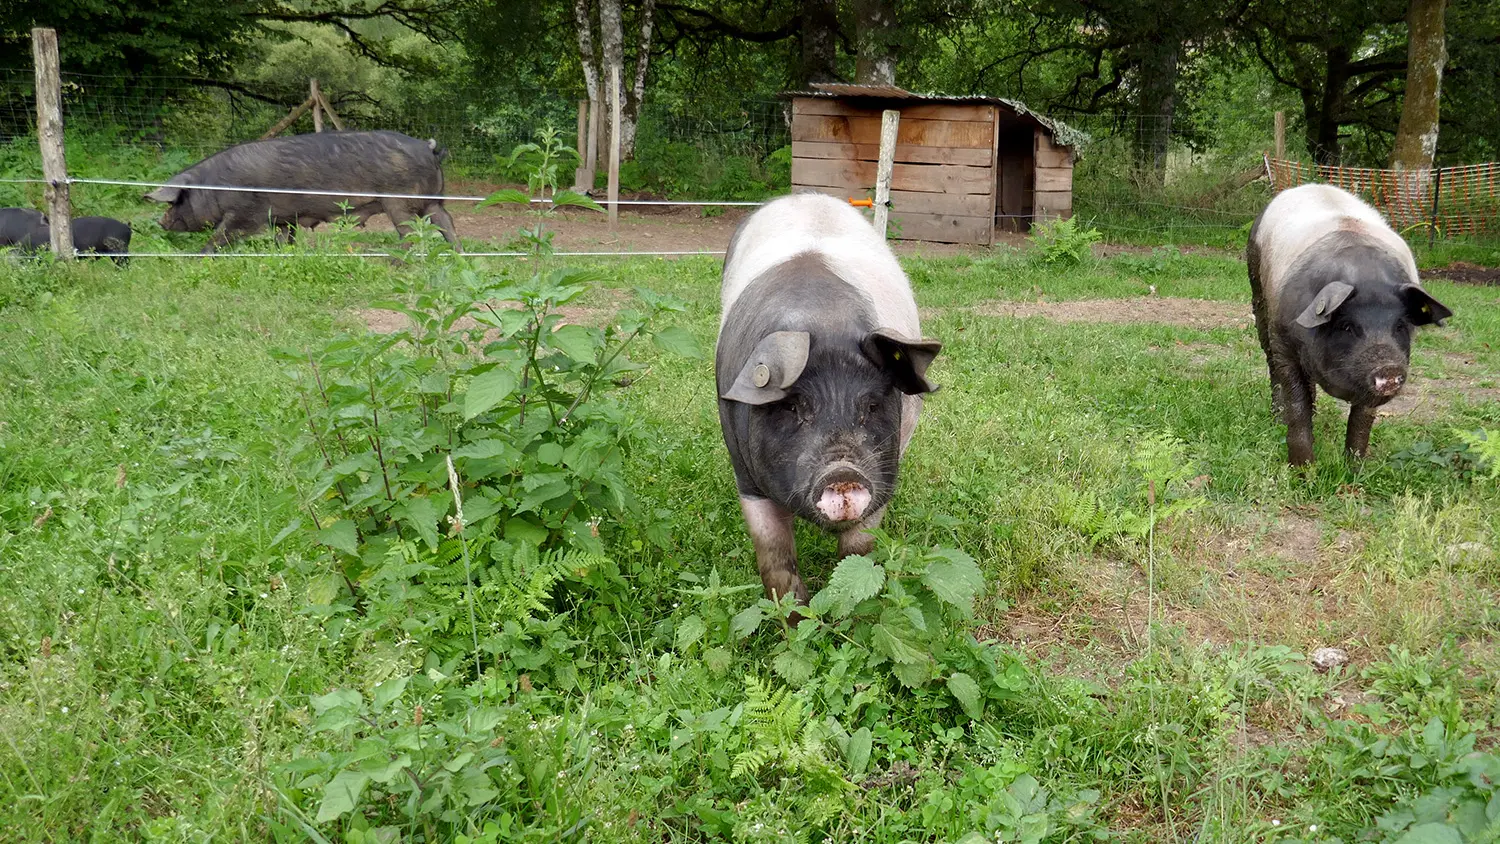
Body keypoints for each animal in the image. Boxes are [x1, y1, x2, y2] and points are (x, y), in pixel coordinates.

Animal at [714, 194, 936, 611]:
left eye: (871, 405)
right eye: (793, 406)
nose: (842, 472)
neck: (825, 319)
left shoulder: (884, 475)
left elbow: (859, 555)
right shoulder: (745, 475)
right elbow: (775, 563)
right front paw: (795, 617)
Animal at [1254, 182, 1452, 467]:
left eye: (1400, 326)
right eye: (1347, 326)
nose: (1389, 368)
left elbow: (1361, 421)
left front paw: (1354, 469)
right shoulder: (1284, 344)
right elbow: (1296, 406)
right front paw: (1303, 470)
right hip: (1258, 293)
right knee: (1269, 360)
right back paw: (1276, 418)